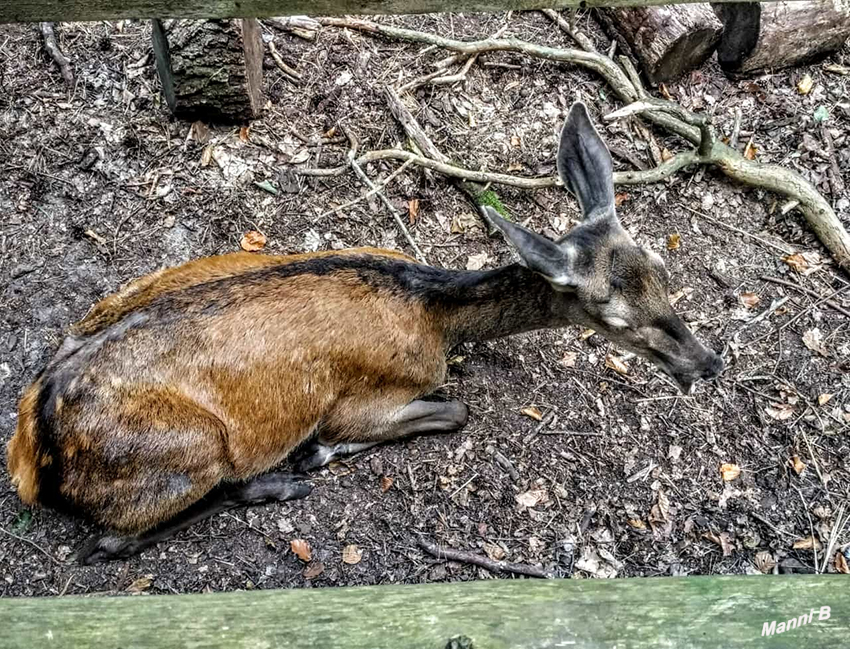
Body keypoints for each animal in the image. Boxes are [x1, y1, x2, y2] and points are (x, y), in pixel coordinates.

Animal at [6, 102, 724, 560]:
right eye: (613, 316)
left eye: (662, 269)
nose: (707, 363)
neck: (434, 314)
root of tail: (30, 448)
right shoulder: (368, 394)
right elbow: (454, 409)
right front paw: (319, 451)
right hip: (189, 448)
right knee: (112, 539)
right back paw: (278, 479)